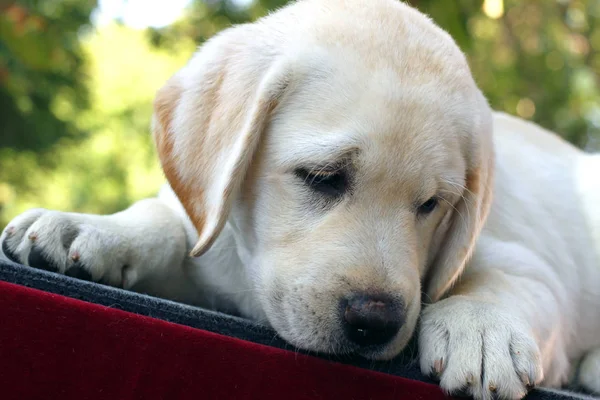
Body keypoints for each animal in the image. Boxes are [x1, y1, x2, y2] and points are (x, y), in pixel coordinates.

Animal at [1, 1, 600, 398]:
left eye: (431, 205)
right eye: (322, 177)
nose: (375, 322)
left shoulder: (520, 257)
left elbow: (506, 282)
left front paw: (482, 330)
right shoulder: (213, 247)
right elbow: (166, 221)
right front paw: (90, 228)